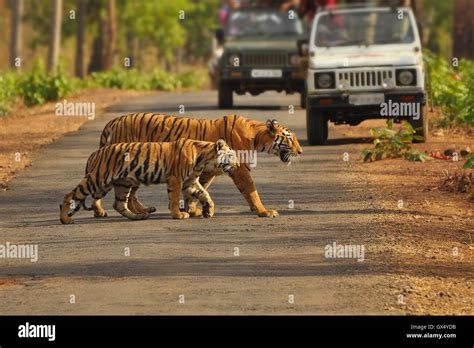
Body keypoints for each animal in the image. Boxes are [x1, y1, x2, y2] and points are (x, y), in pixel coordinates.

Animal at [59, 137, 237, 224]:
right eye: (232, 155)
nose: (237, 165)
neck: (204, 159)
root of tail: (95, 153)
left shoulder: (190, 181)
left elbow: (204, 194)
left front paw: (209, 210)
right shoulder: (176, 179)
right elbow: (174, 198)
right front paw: (178, 214)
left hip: (121, 183)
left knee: (118, 204)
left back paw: (139, 216)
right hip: (96, 179)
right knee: (70, 195)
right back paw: (65, 219)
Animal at [99, 113, 304, 218]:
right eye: (289, 138)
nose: (301, 151)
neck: (256, 136)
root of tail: (113, 121)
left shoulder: (206, 171)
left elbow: (197, 190)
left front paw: (191, 209)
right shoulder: (240, 169)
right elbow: (251, 190)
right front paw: (263, 211)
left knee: (129, 194)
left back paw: (141, 211)